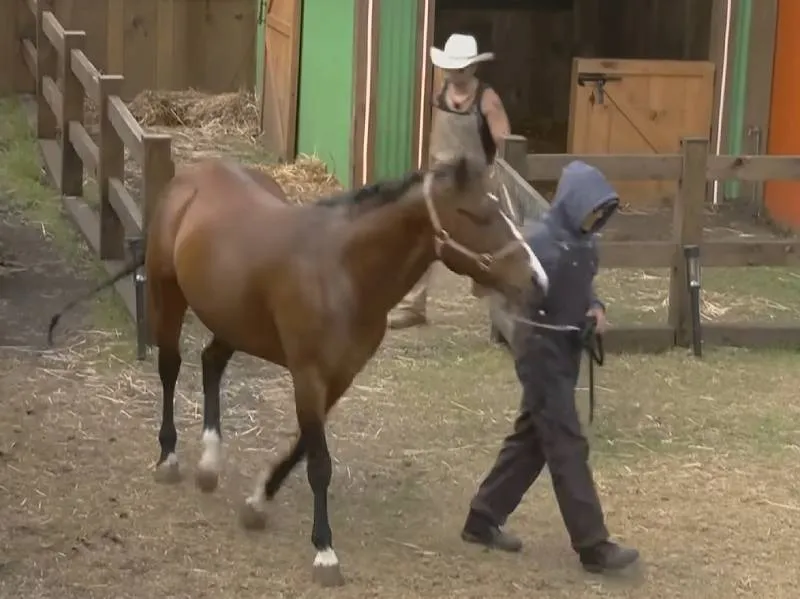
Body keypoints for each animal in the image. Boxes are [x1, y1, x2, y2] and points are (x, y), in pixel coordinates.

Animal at [47, 155, 549, 587]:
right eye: (477, 214)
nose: (538, 280)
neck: (343, 272)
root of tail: (190, 178)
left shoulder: (339, 377)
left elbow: (301, 449)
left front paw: (257, 503)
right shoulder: (308, 374)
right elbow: (319, 463)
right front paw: (324, 552)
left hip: (233, 320)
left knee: (211, 364)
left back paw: (210, 463)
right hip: (167, 297)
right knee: (171, 368)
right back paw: (169, 458)